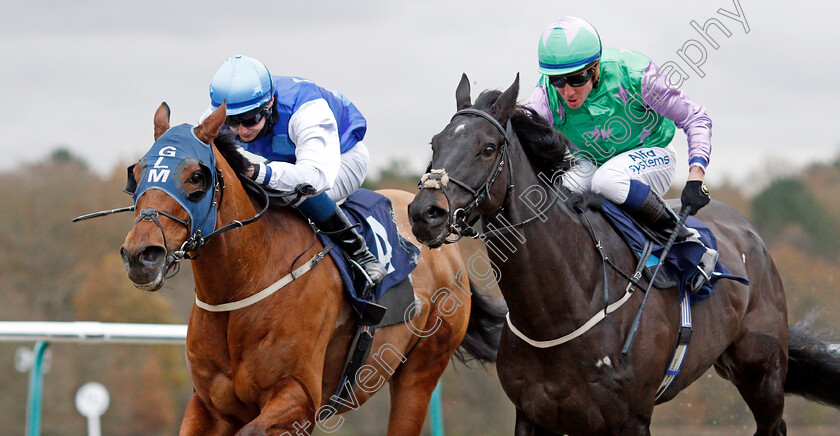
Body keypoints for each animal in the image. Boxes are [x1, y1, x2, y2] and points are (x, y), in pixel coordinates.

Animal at [120, 103, 506, 436]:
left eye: (196, 176)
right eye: (137, 173)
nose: (141, 254)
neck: (242, 284)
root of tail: (447, 248)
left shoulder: (300, 399)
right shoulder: (209, 406)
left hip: (420, 372)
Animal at [406, 73, 840, 434]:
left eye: (488, 148)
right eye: (435, 144)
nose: (425, 212)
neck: (560, 308)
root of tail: (750, 233)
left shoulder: (630, 417)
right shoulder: (533, 414)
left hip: (761, 371)